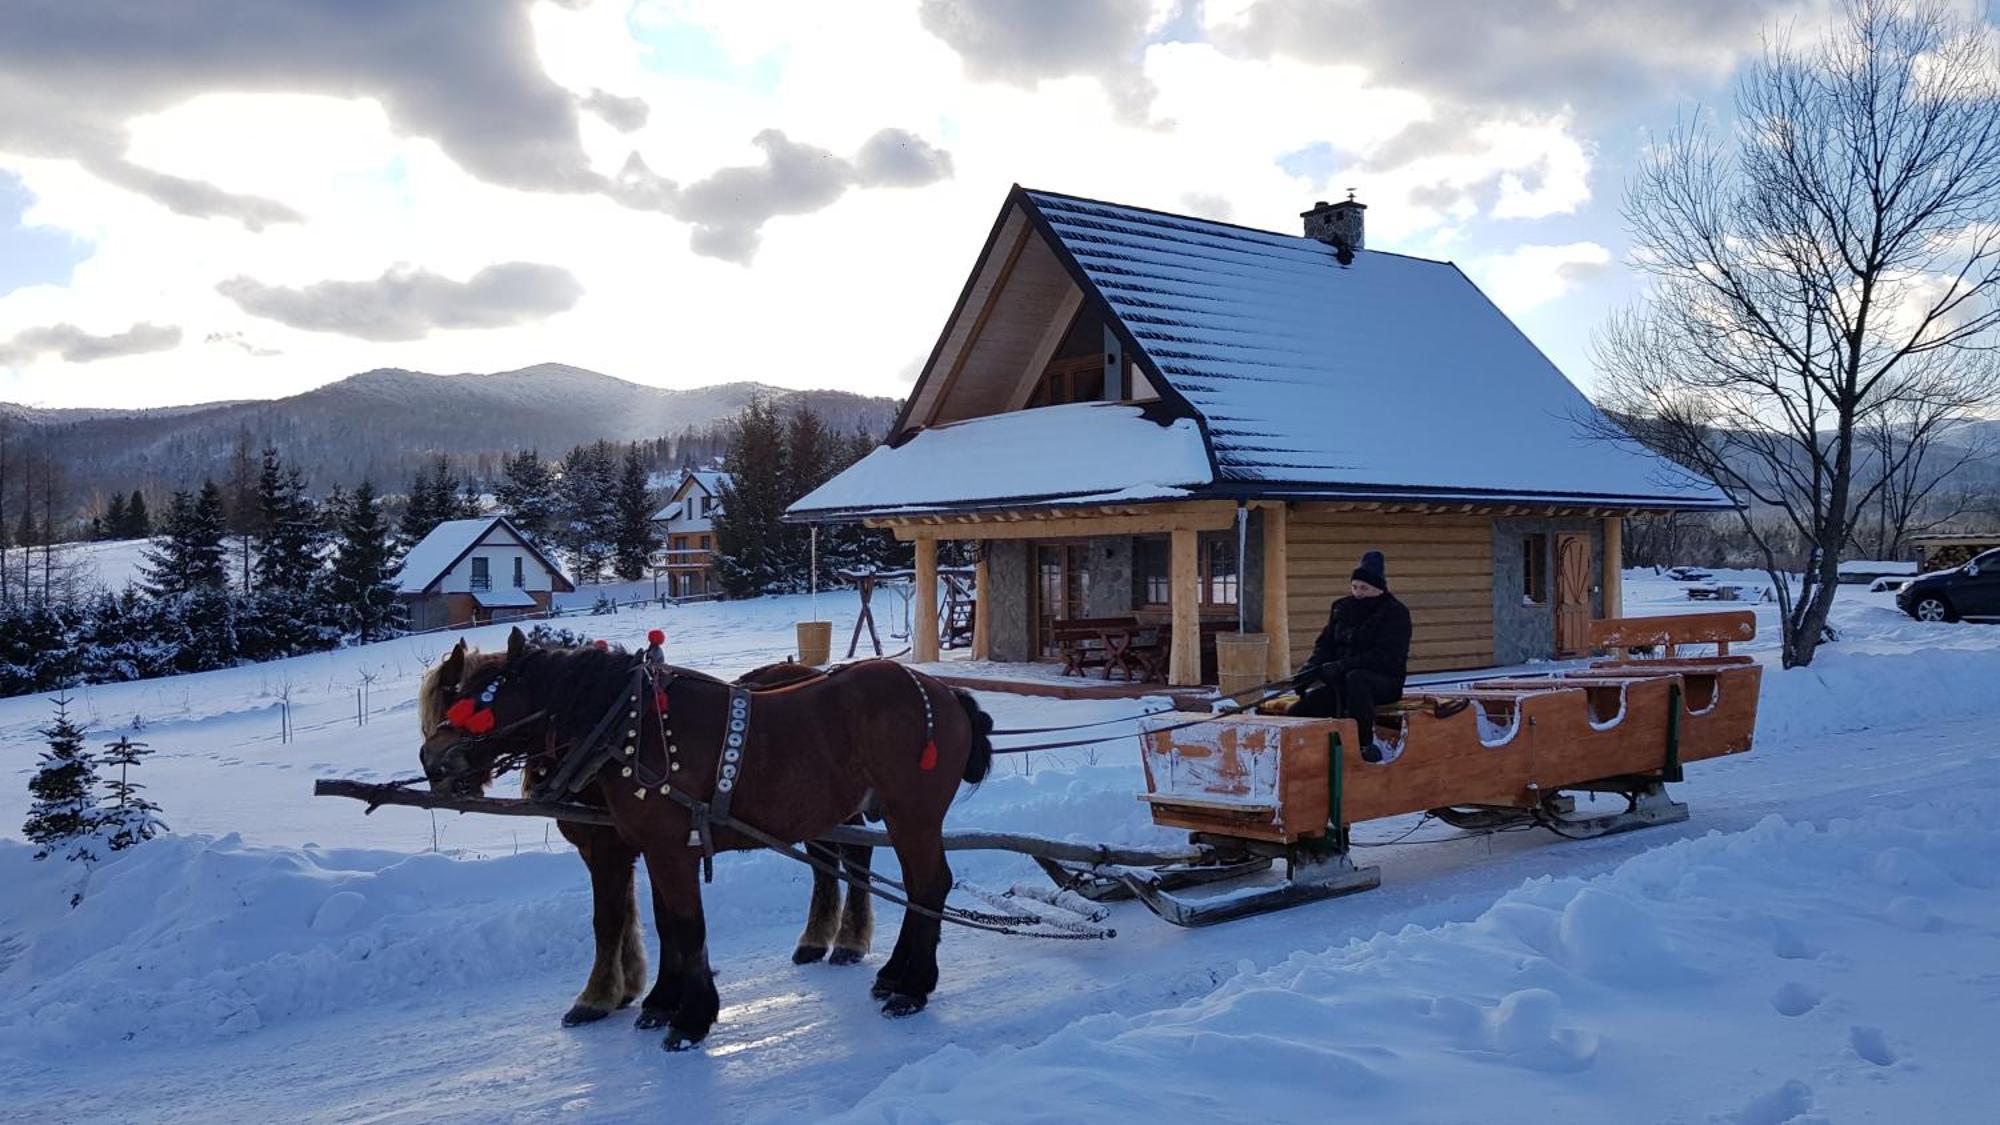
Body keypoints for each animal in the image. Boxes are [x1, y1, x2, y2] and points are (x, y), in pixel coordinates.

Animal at [420, 624, 992, 1048]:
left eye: (480, 699)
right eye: (453, 696)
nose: (433, 759)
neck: (627, 727)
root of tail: (944, 692)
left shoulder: (661, 847)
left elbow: (683, 926)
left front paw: (689, 1018)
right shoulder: (654, 846)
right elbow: (665, 924)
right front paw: (659, 1002)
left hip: (912, 814)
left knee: (928, 886)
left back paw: (911, 987)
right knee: (907, 885)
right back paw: (890, 972)